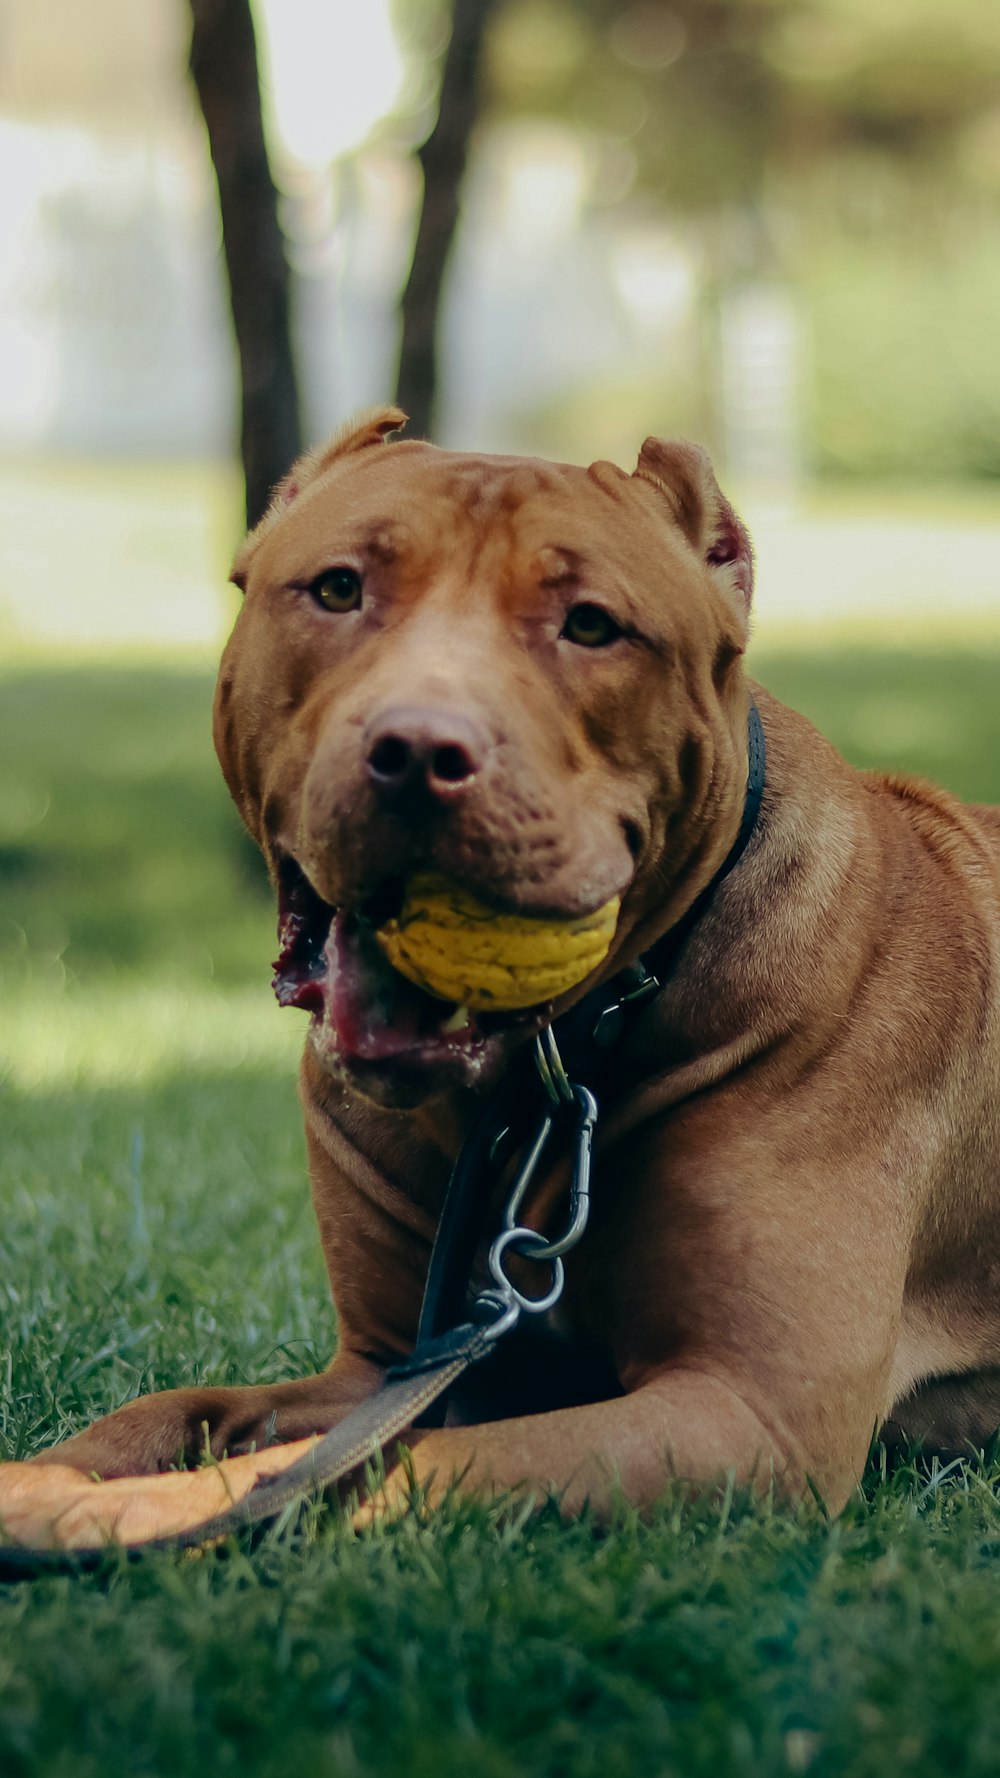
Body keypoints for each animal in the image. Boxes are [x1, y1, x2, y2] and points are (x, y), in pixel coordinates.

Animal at [27, 408, 996, 1521]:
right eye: (338, 588)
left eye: (591, 625)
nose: (417, 749)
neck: (538, 1091)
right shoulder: (378, 1370)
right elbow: (178, 1410)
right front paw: (58, 1475)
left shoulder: (756, 1416)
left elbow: (393, 1466)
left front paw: (102, 1514)